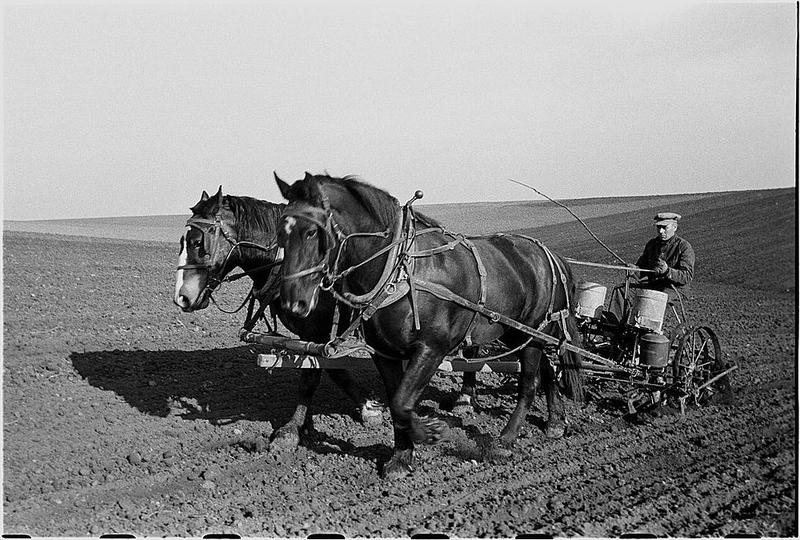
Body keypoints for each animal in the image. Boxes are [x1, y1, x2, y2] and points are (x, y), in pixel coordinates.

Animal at [174, 188, 384, 450]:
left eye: (197, 242)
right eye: (182, 241)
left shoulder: (318, 331)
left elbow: (311, 377)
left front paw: (291, 430)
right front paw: (365, 406)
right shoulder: (312, 336)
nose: (181, 297)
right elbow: (331, 370)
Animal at [276, 172, 580, 476]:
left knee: (529, 384)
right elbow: (395, 402)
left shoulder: (431, 349)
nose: (293, 303)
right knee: (547, 370)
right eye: (281, 234)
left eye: (311, 232)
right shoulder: (383, 353)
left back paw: (506, 438)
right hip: (518, 333)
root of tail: (549, 255)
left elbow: (402, 403)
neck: (398, 269)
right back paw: (556, 421)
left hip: (536, 332)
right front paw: (401, 457)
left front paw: (431, 432)